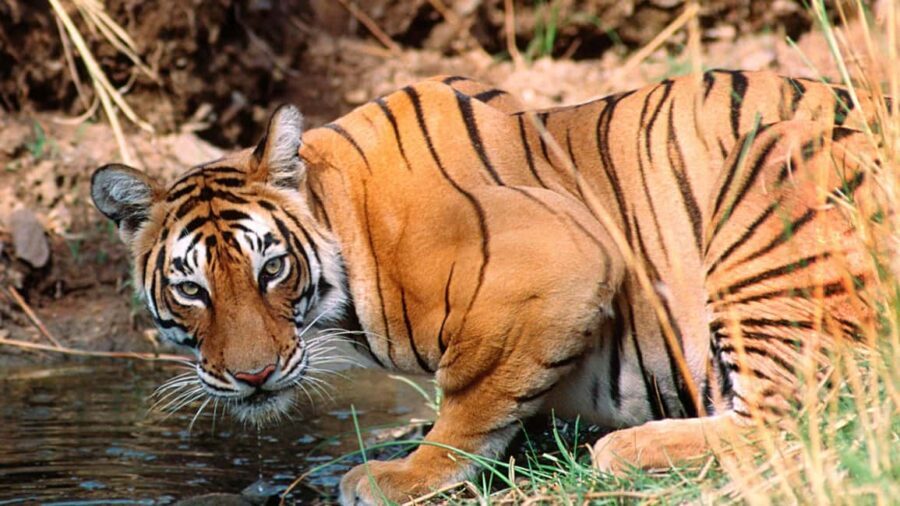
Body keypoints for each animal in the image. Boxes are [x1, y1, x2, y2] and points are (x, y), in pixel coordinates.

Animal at [90, 70, 889, 504]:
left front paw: (402, 476)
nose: (253, 376)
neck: (346, 218)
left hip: (772, 165)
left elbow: (471, 399)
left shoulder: (562, 262)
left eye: (272, 269)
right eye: (193, 291)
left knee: (801, 416)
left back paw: (623, 449)